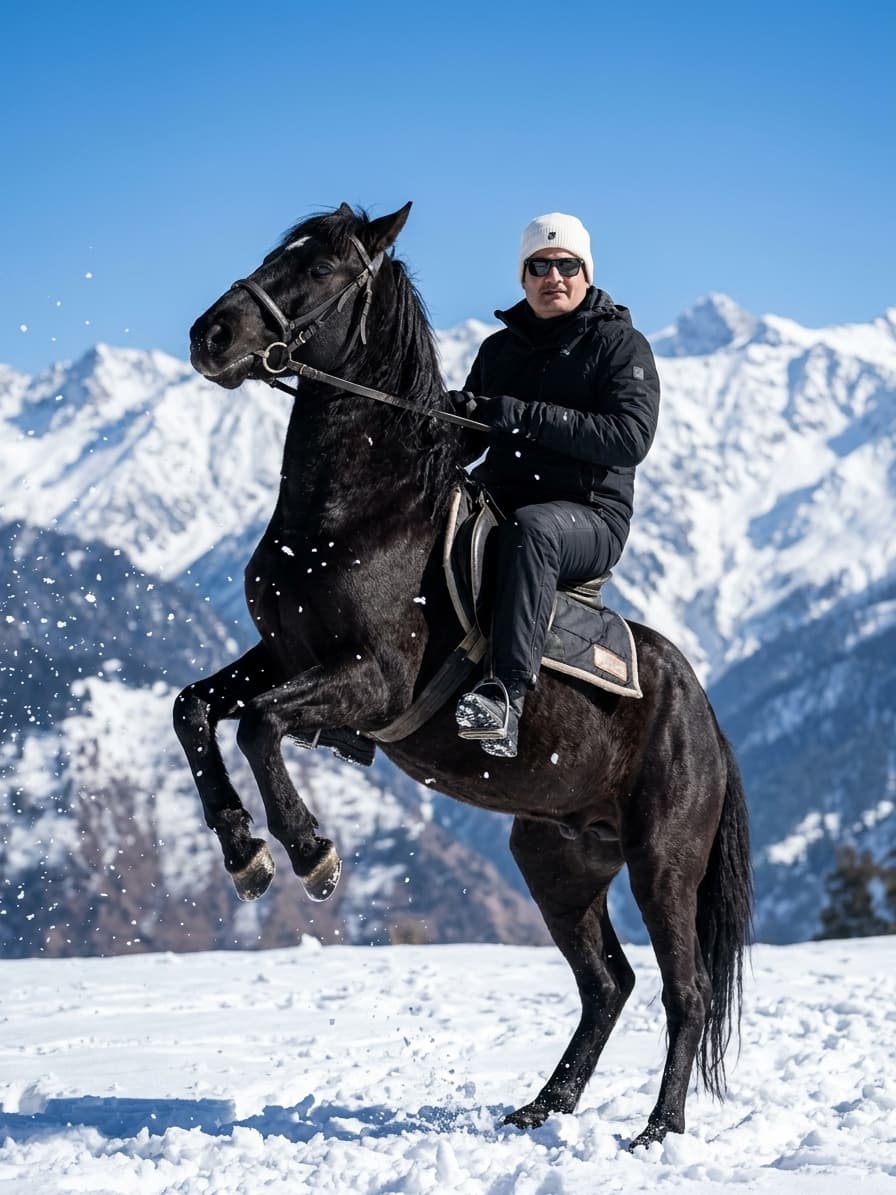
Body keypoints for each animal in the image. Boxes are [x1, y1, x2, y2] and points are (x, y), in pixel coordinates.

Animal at [176, 201, 752, 1149]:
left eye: (324, 268)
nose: (211, 333)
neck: (355, 512)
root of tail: (704, 717)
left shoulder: (373, 681)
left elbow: (259, 723)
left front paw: (310, 852)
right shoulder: (283, 656)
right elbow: (194, 710)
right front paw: (244, 852)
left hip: (663, 861)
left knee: (685, 990)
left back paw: (657, 1128)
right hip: (557, 861)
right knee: (607, 983)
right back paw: (543, 1105)